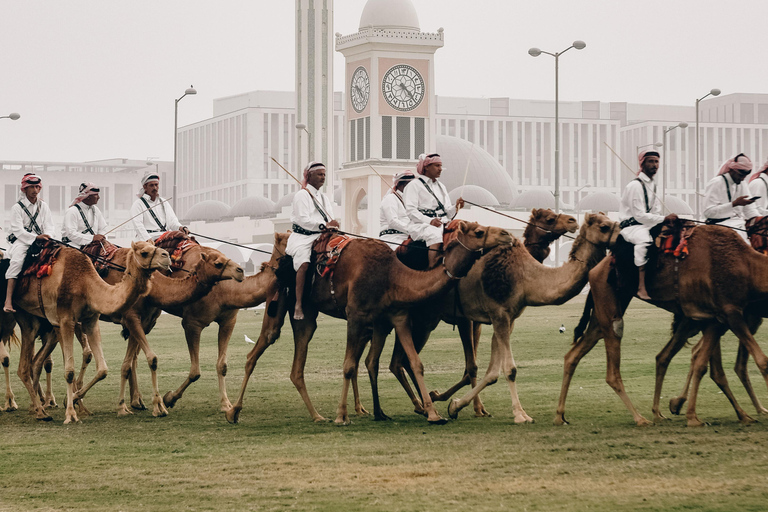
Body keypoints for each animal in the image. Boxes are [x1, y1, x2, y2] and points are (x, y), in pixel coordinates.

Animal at [13, 242, 170, 422]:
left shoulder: (90, 320)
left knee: (32, 363)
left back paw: (38, 409)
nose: (167, 256)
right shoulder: (66, 319)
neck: (85, 284)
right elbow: (69, 371)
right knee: (24, 366)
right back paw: (36, 409)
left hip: (36, 321)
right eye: (144, 253)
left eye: (154, 246)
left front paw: (74, 400)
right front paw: (71, 413)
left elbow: (102, 369)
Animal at [228, 220, 516, 424]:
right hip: (280, 303)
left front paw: (434, 413)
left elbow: (413, 363)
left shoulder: (396, 316)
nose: (508, 235)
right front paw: (342, 416)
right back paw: (234, 412)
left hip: (308, 315)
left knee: (298, 366)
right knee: (258, 350)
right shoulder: (357, 314)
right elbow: (348, 366)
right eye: (479, 231)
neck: (393, 274)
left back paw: (318, 415)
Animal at [388, 212, 620, 424]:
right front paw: (520, 415)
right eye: (604, 226)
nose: (573, 220)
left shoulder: (507, 318)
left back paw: (423, 405)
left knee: (400, 361)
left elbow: (492, 372)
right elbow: (509, 369)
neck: (525, 276)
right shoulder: (497, 314)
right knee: (401, 359)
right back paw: (423, 407)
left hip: (427, 319)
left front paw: (456, 406)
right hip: (421, 317)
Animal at [556, 224, 768, 428]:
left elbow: (702, 364)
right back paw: (641, 418)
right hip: (609, 299)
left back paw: (560, 415)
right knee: (613, 362)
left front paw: (693, 415)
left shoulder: (715, 318)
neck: (746, 265)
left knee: (575, 353)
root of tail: (594, 270)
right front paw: (691, 415)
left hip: (608, 305)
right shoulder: (730, 311)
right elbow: (762, 361)